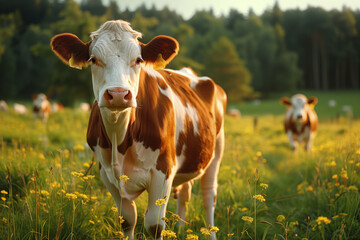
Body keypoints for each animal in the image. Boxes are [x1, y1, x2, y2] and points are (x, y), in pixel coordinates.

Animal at [50, 20, 226, 240]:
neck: (120, 140)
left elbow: (155, 224)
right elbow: (127, 220)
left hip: (216, 150)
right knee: (185, 192)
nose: (118, 94)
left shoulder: (164, 170)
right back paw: (180, 229)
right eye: (93, 59)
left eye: (139, 59)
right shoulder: (106, 173)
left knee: (208, 195)